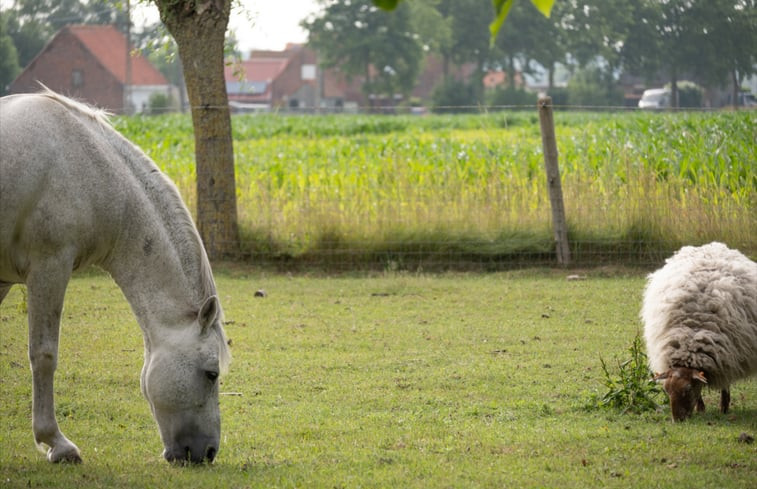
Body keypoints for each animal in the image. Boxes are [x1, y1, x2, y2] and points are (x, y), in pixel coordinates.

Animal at [636, 240, 756, 420]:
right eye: (666, 390)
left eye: (688, 389)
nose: (678, 420)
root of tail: (710, 245)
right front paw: (701, 408)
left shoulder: (727, 355)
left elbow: (724, 383)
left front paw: (723, 407)